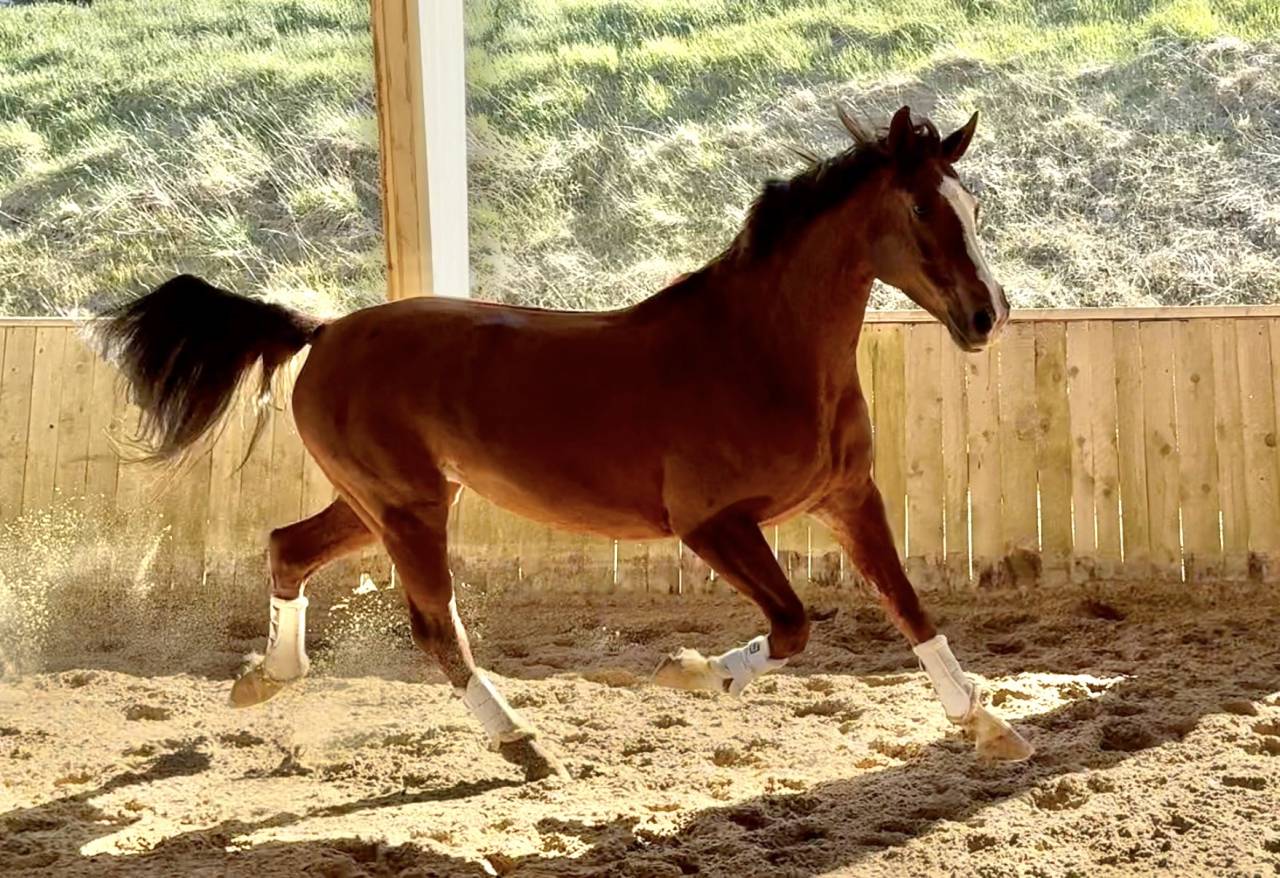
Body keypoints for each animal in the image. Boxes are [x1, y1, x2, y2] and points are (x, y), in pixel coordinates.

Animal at [95, 105, 1030, 781]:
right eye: (921, 207)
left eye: (976, 206)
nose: (988, 316)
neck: (762, 352)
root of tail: (322, 332)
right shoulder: (711, 524)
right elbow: (795, 624)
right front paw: (695, 673)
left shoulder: (847, 499)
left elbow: (910, 608)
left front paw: (986, 724)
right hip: (408, 509)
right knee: (436, 629)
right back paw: (522, 745)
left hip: (385, 502)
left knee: (288, 547)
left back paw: (267, 677)